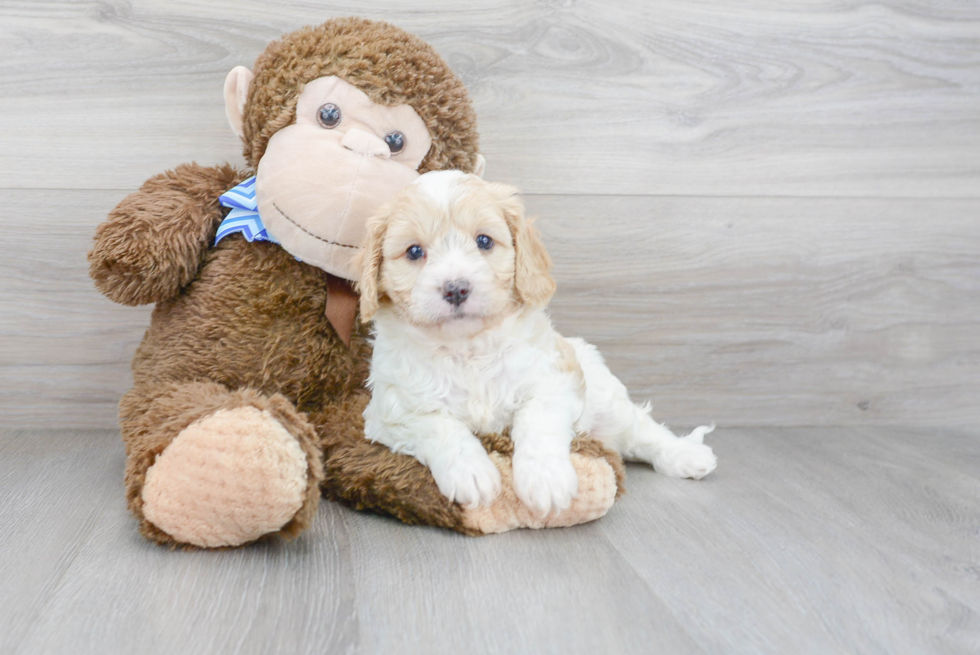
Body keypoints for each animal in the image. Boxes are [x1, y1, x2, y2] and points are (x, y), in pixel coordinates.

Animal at [356, 170, 716, 516]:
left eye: (484, 241)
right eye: (414, 251)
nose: (456, 288)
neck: (467, 347)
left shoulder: (553, 381)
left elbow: (537, 422)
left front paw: (546, 480)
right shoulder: (392, 410)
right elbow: (438, 426)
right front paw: (471, 473)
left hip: (605, 399)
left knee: (642, 431)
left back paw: (686, 456)